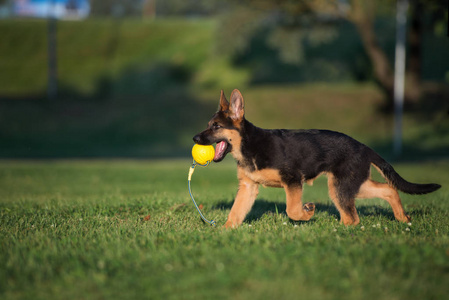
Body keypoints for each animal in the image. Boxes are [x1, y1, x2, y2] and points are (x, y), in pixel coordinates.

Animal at [192, 89, 438, 227]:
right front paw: (224, 232)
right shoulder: (248, 187)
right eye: (208, 125)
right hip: (352, 184)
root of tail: (364, 147)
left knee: (353, 218)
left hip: (340, 187)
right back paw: (402, 219)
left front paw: (307, 213)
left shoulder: (292, 180)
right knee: (387, 190)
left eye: (216, 126)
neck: (248, 144)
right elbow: (235, 212)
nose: (195, 138)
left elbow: (292, 210)